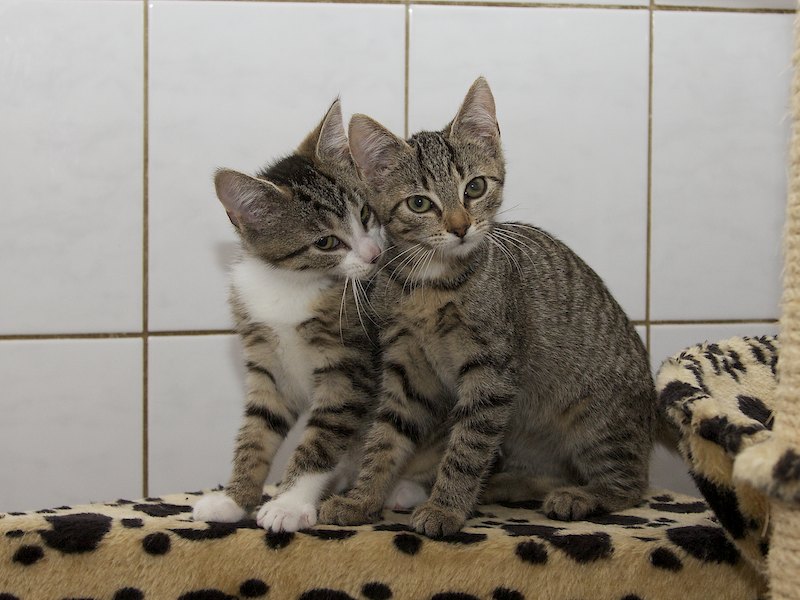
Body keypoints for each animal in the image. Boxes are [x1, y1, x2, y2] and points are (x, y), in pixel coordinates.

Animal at [192, 100, 390, 532]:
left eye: (366, 213)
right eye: (326, 242)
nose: (374, 256)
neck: (291, 284)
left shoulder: (350, 369)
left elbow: (323, 435)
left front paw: (290, 504)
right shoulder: (267, 361)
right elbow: (257, 430)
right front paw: (234, 499)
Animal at [319, 78, 661, 538]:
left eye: (475, 187)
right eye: (420, 203)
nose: (461, 227)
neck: (432, 286)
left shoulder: (491, 372)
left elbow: (467, 446)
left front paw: (445, 507)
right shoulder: (407, 367)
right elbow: (386, 437)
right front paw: (360, 500)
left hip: (594, 418)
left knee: (631, 485)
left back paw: (580, 496)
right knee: (552, 473)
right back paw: (503, 487)